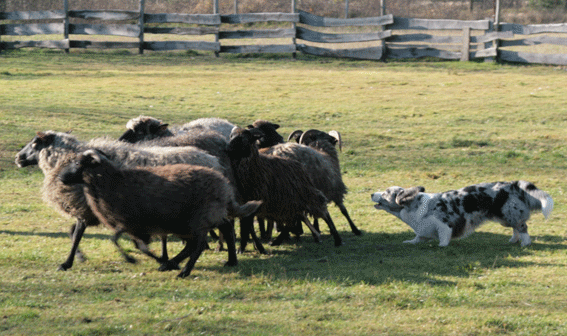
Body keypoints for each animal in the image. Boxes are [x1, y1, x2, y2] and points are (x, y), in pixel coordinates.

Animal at [14, 131, 225, 270]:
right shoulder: (93, 211)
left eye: (35, 143)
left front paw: (67, 262)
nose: (18, 158)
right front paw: (79, 257)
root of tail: (212, 161)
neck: (64, 159)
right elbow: (73, 233)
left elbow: (76, 235)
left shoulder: (85, 209)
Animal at [57, 150, 262, 278]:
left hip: (198, 218)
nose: (60, 177)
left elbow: (119, 241)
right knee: (222, 229)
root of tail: (224, 185)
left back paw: (183, 271)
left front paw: (134, 259)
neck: (112, 182)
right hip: (202, 217)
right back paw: (228, 261)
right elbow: (137, 245)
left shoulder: (130, 223)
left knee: (198, 245)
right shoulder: (133, 226)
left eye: (78, 163)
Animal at [372, 181, 556, 247]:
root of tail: (513, 185)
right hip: (505, 218)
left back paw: (525, 243)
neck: (413, 206)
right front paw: (411, 241)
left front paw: (441, 246)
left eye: (386, 192)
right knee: (515, 228)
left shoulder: (444, 224)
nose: (372, 193)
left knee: (522, 227)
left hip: (509, 214)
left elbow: (444, 238)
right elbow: (419, 237)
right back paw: (513, 240)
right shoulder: (423, 229)